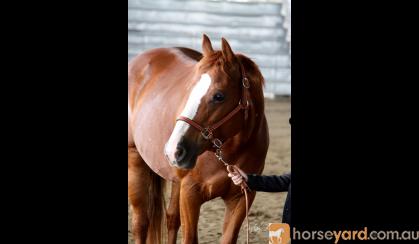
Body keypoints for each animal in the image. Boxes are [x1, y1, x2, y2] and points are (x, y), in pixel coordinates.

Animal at [128, 34, 270, 244]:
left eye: (219, 96)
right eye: (188, 91)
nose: (172, 149)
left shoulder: (242, 197)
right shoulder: (190, 193)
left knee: (171, 219)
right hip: (135, 160)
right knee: (141, 223)